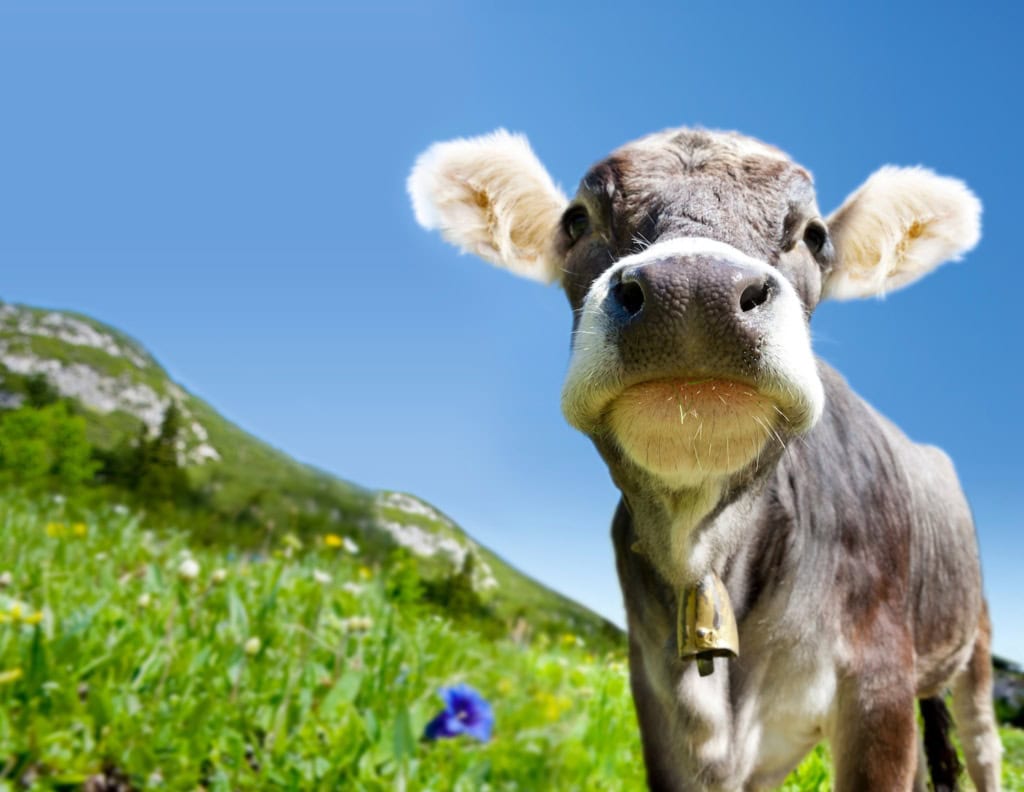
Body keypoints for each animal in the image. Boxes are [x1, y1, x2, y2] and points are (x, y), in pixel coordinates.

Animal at [407, 127, 1001, 791]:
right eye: (576, 220)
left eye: (815, 235)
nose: (693, 291)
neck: (704, 551)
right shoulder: (659, 695)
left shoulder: (877, 682)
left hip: (972, 642)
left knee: (983, 744)